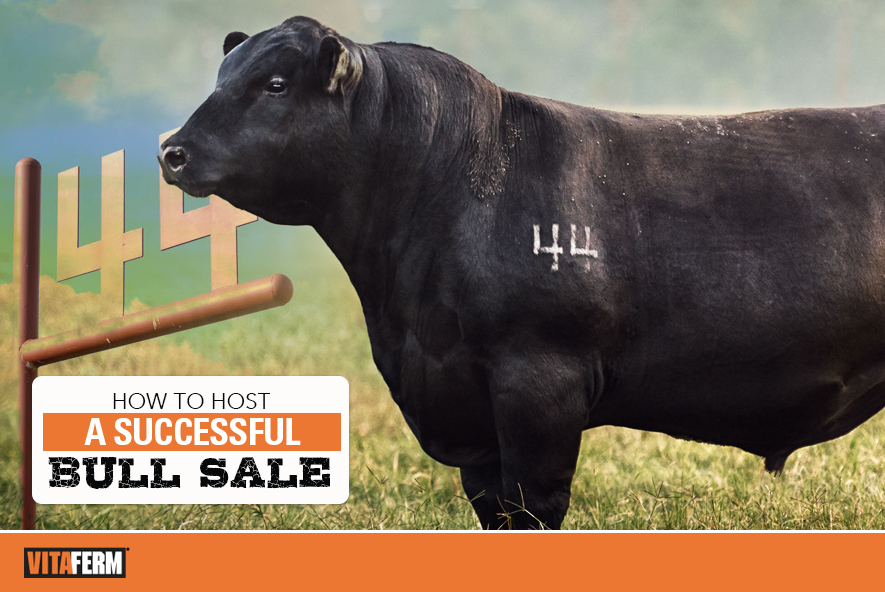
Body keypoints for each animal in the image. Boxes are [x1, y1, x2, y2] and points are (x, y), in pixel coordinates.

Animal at [159, 16, 885, 529]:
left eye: (276, 84)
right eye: (221, 76)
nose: (172, 151)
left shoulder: (539, 383)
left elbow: (534, 507)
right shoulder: (465, 408)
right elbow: (495, 509)